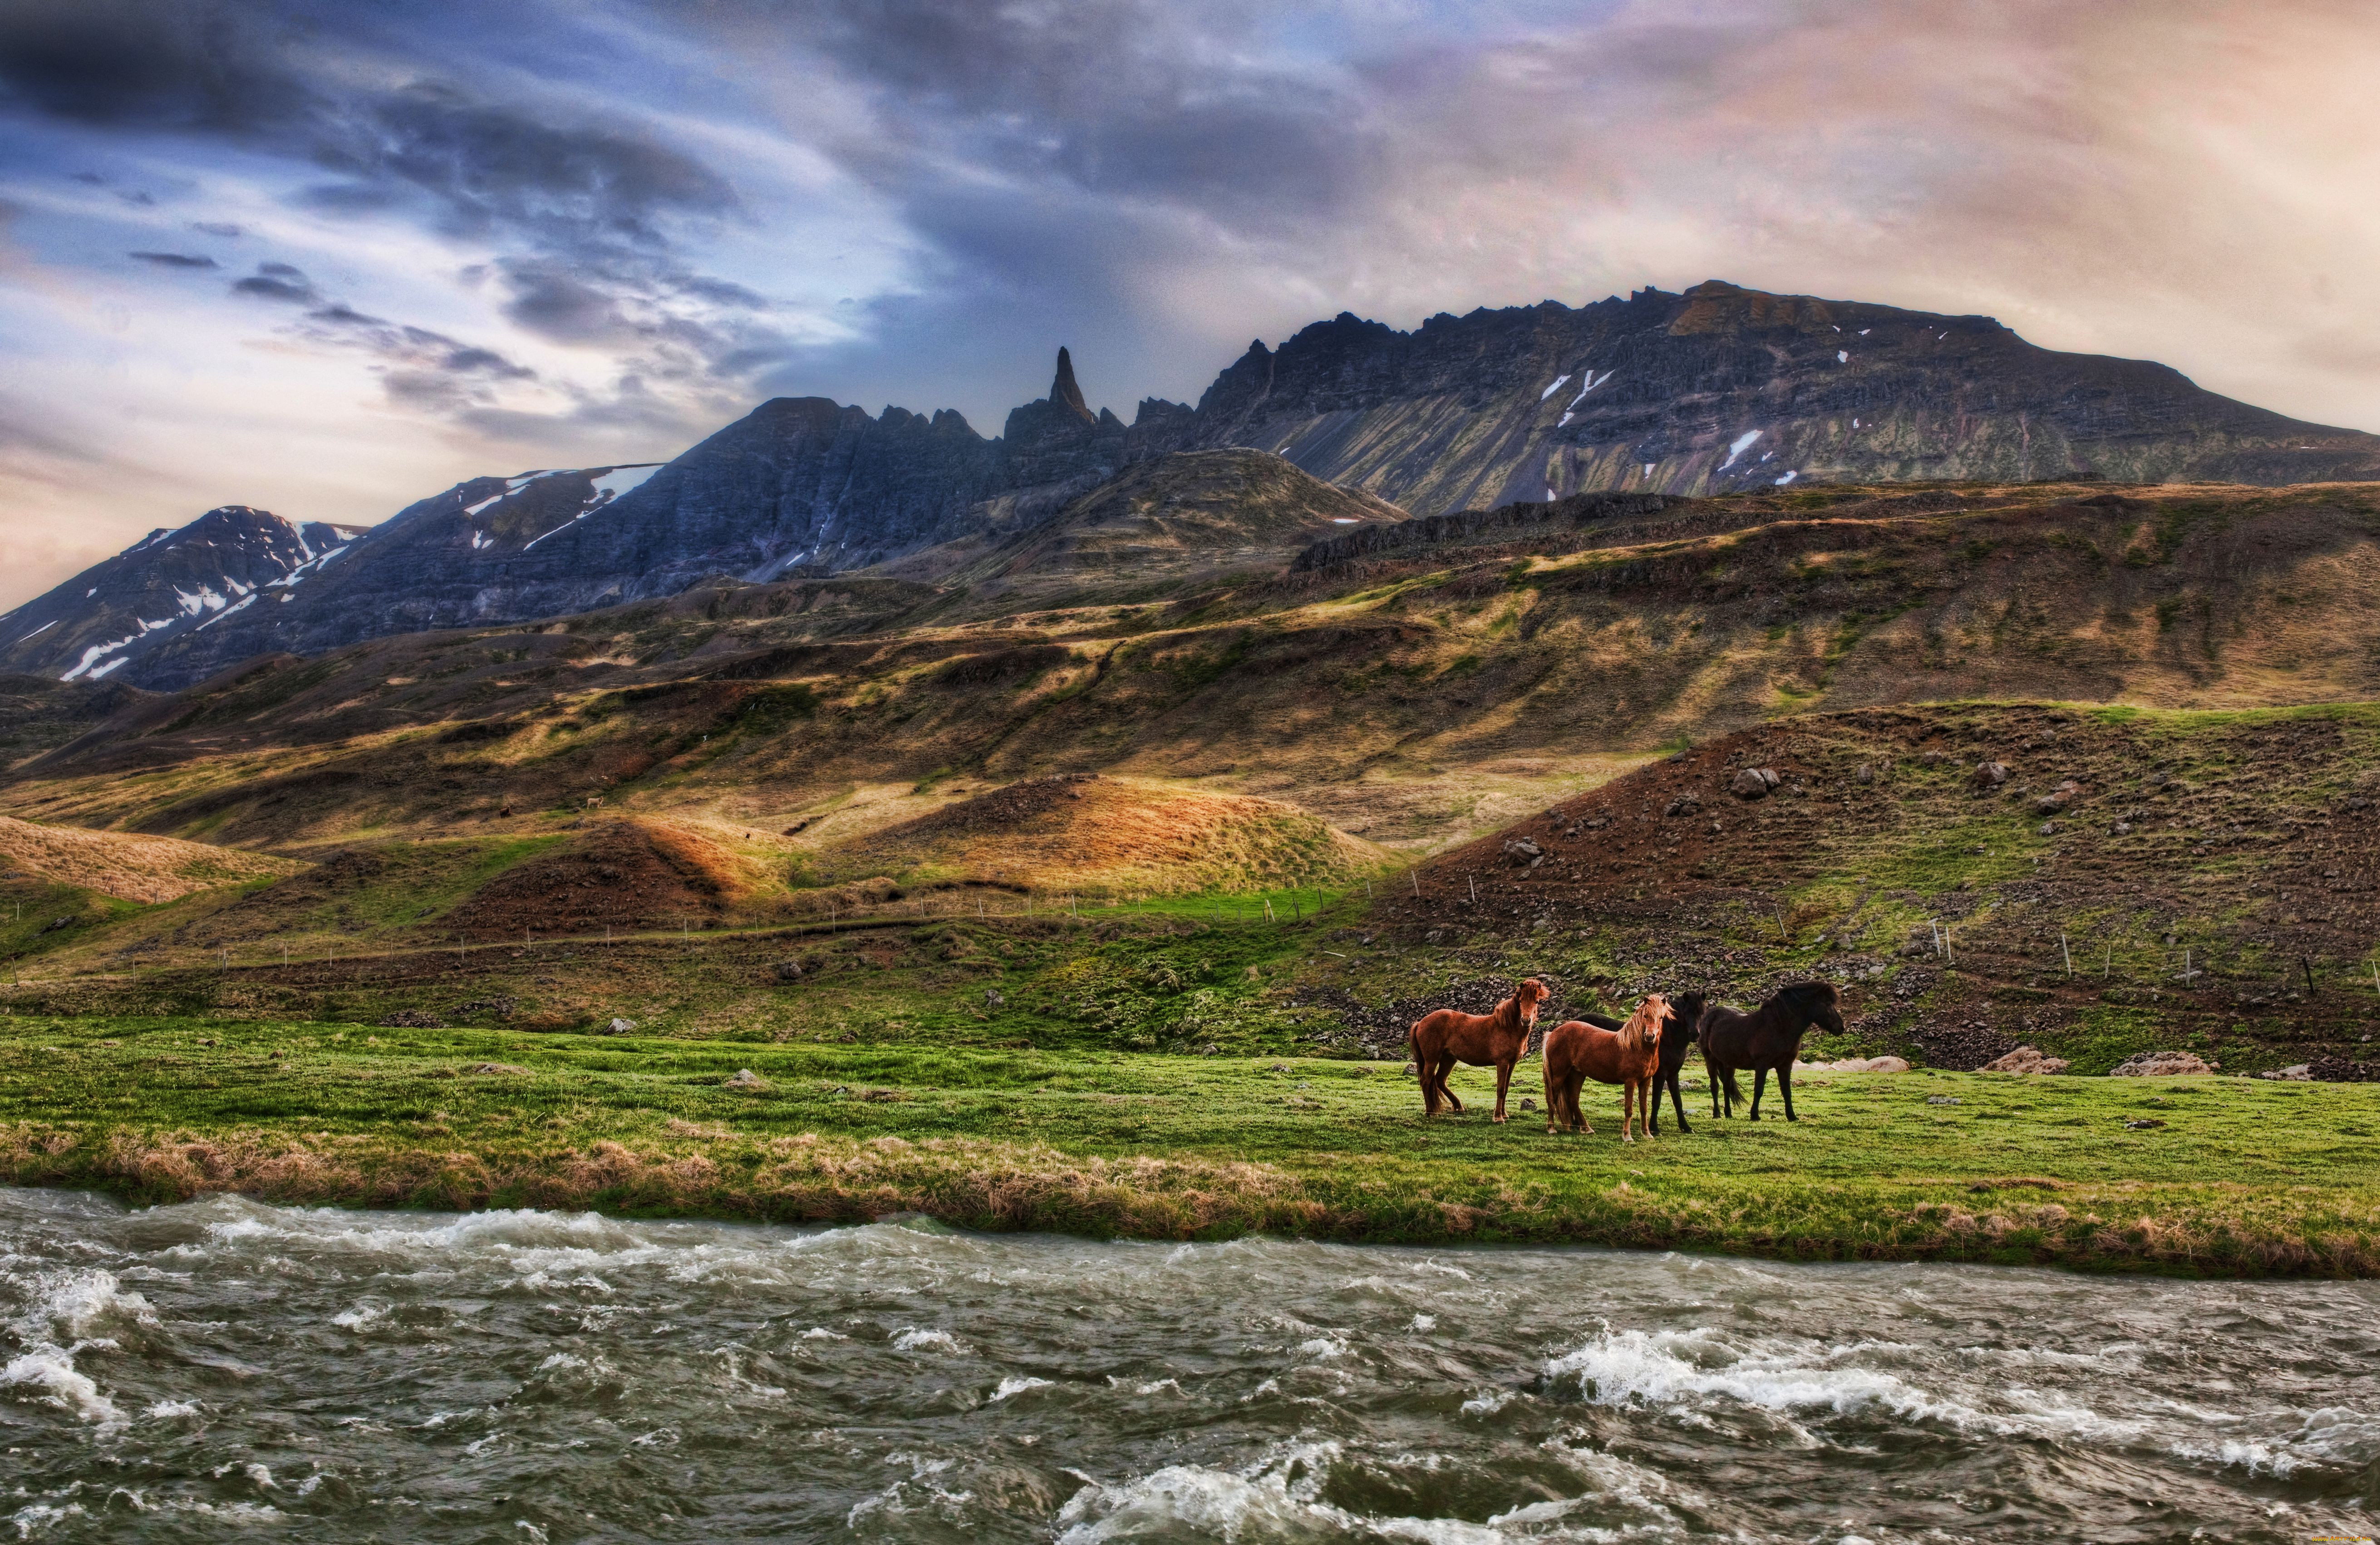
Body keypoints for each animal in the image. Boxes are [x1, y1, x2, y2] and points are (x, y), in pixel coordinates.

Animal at [1399, 976, 1552, 1119]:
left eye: (1537, 1002)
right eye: (1520, 1001)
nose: (1526, 1021)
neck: (1508, 1028)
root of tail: (1420, 1023)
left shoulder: (1511, 1064)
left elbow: (1506, 1089)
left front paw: (1504, 1114)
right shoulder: (1502, 1064)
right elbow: (1501, 1090)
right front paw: (1498, 1117)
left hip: (1448, 1059)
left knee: (1440, 1080)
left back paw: (1458, 1106)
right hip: (1432, 1060)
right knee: (1426, 1081)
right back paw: (1431, 1112)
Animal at [1542, 995, 1675, 1138]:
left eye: (1661, 1017)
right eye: (1645, 1016)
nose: (1650, 1037)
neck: (1635, 1047)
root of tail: (1553, 1033)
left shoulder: (1646, 1081)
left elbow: (1644, 1109)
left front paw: (1647, 1134)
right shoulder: (1630, 1082)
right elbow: (1629, 1110)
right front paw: (1627, 1136)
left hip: (1577, 1074)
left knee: (1573, 1100)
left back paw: (1586, 1128)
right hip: (1559, 1075)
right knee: (1551, 1098)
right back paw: (1551, 1128)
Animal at [1704, 976, 1847, 1119]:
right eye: (1828, 1004)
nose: (1841, 1028)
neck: (1778, 1028)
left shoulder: (1785, 1065)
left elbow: (1787, 1091)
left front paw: (1792, 1116)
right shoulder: (1762, 1065)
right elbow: (1759, 1090)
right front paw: (1755, 1115)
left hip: (1728, 1063)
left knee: (1726, 1086)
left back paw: (1728, 1114)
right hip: (1710, 1059)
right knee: (1715, 1086)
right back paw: (1717, 1114)